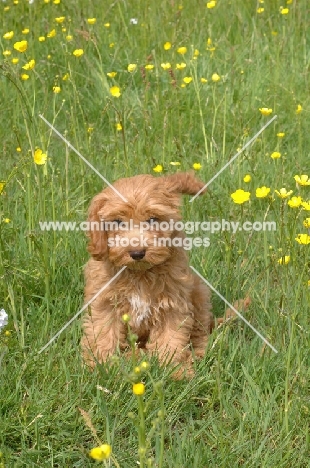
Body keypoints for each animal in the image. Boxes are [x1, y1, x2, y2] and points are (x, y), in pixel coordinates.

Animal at [81, 173, 214, 376]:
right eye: (117, 222)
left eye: (153, 219)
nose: (137, 253)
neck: (140, 273)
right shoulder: (104, 302)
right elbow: (104, 333)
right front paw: (101, 365)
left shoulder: (173, 304)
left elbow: (171, 339)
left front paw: (173, 370)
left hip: (199, 293)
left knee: (200, 334)